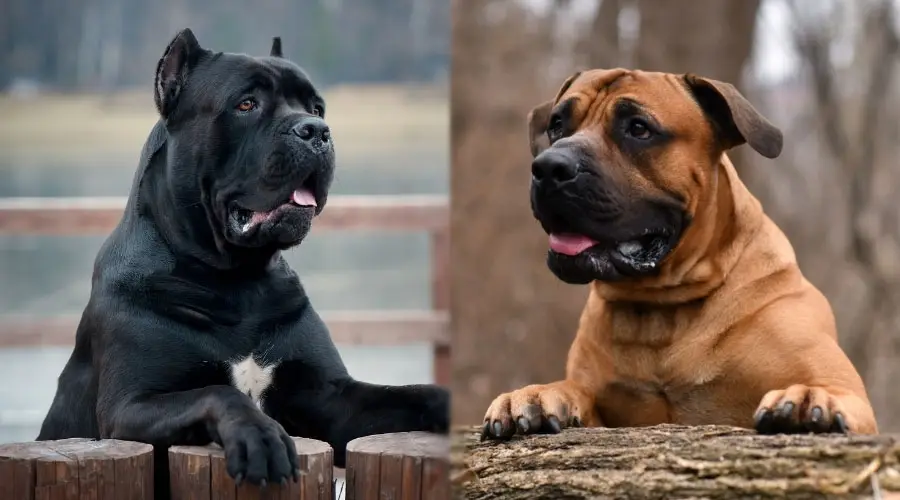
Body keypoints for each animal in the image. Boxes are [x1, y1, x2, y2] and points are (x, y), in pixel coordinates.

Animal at [38, 29, 450, 494]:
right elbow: (219, 392)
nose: (317, 131)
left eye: (317, 108)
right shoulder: (129, 406)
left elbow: (417, 393)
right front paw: (261, 438)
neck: (237, 280)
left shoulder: (332, 399)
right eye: (246, 104)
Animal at [482, 68, 876, 440]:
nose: (550, 167)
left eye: (638, 128)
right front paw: (537, 395)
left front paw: (811, 396)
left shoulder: (849, 393)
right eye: (557, 124)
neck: (661, 311)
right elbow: (577, 390)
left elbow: (828, 388)